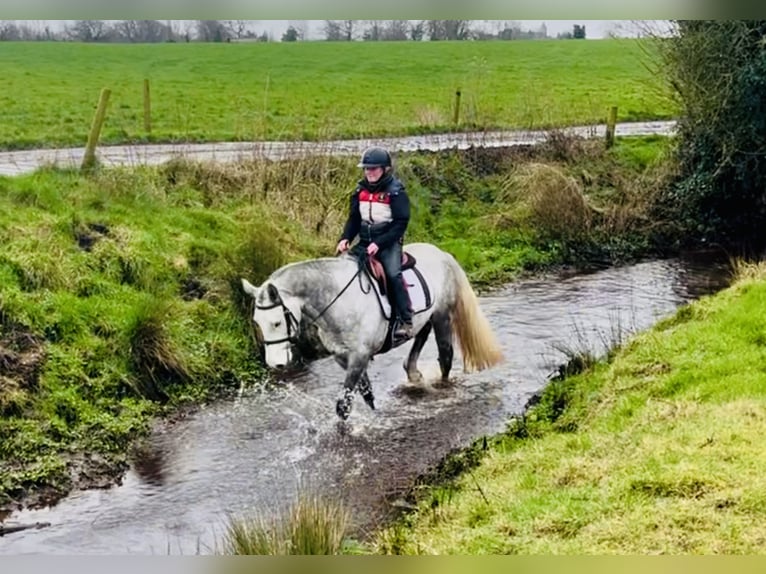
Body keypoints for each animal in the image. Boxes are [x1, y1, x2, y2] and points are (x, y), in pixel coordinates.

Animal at [241, 242, 503, 420]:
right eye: (257, 322)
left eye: (276, 322)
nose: (275, 365)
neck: (338, 300)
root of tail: (441, 254)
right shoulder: (343, 357)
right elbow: (365, 394)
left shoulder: (360, 355)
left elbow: (343, 405)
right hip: (425, 318)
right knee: (420, 337)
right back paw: (413, 373)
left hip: (442, 317)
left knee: (446, 357)